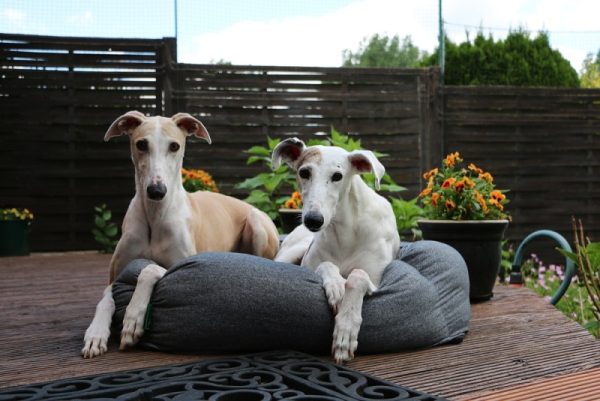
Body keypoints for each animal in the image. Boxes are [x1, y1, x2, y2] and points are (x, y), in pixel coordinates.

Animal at [81, 111, 280, 358]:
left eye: (174, 146)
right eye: (141, 144)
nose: (157, 191)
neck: (155, 216)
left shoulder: (181, 263)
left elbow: (150, 268)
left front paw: (133, 317)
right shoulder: (115, 275)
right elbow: (106, 297)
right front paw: (95, 334)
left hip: (256, 222)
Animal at [274, 138, 400, 362]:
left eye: (337, 176)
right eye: (304, 172)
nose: (313, 220)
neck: (345, 230)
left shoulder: (375, 280)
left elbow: (358, 275)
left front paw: (346, 332)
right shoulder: (309, 264)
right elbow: (326, 264)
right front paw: (336, 286)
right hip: (289, 254)